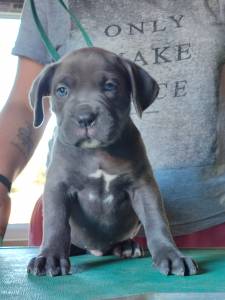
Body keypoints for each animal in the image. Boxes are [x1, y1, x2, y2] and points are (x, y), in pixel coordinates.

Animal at [27, 47, 198, 276]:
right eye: (61, 91)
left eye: (110, 86)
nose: (85, 117)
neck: (97, 153)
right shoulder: (58, 186)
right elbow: (55, 224)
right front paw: (49, 258)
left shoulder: (143, 186)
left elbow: (156, 220)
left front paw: (171, 255)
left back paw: (127, 246)